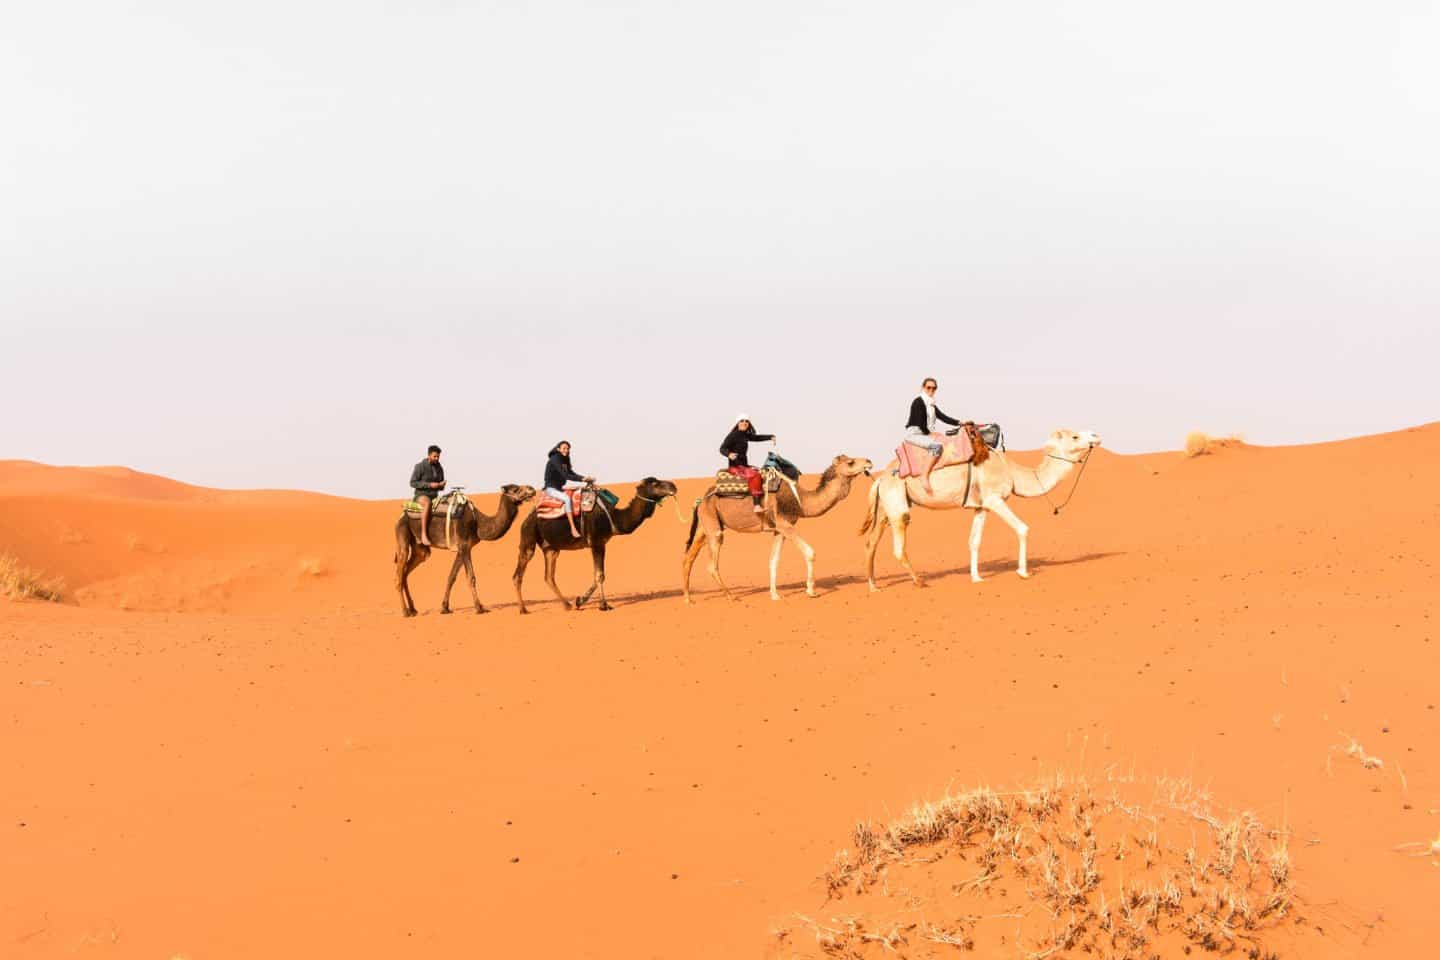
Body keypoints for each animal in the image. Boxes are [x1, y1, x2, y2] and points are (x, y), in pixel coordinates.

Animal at [394, 483, 541, 618]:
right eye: (515, 489)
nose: (532, 489)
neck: (478, 524)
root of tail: (401, 515)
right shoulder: (464, 545)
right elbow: (471, 577)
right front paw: (479, 608)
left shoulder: (463, 548)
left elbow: (451, 576)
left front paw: (445, 608)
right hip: (403, 534)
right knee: (399, 575)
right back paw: (405, 612)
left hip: (420, 549)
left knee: (406, 572)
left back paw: (413, 609)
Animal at [512, 477, 679, 616]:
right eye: (655, 483)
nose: (673, 486)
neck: (613, 517)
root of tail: (526, 519)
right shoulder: (597, 542)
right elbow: (600, 575)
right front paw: (604, 605)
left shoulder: (600, 543)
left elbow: (597, 574)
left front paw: (580, 601)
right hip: (528, 536)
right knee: (518, 574)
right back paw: (523, 609)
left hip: (551, 548)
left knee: (549, 576)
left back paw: (567, 605)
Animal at [679, 457, 869, 601]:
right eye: (851, 462)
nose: (869, 462)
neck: (800, 501)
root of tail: (701, 499)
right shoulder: (785, 524)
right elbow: (810, 552)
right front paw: (811, 591)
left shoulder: (779, 530)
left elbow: (773, 560)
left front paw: (775, 595)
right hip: (713, 526)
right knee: (711, 564)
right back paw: (730, 596)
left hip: (705, 525)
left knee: (688, 557)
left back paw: (688, 599)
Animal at [852, 428, 1100, 592]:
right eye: (1075, 436)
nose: (1096, 436)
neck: (1011, 471)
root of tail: (881, 477)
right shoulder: (994, 499)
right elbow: (1023, 528)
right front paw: (1023, 572)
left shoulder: (982, 507)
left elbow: (974, 541)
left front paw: (976, 578)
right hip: (896, 502)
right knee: (898, 544)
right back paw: (919, 581)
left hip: (885, 506)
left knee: (871, 542)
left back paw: (873, 586)